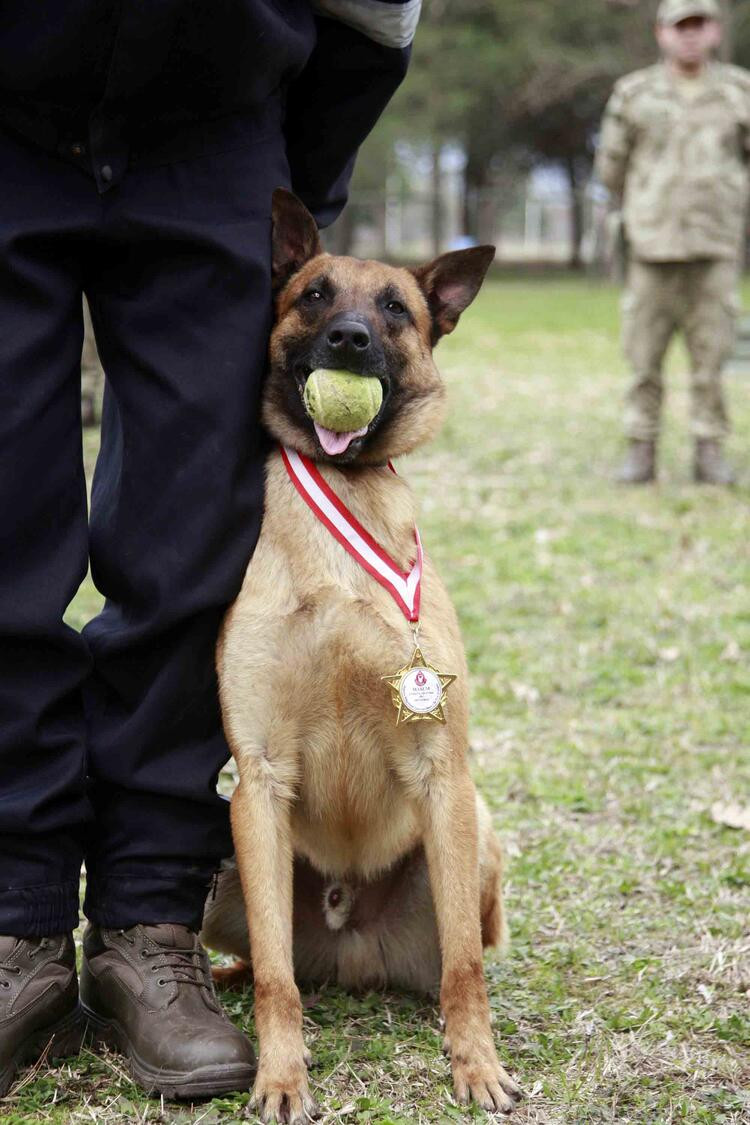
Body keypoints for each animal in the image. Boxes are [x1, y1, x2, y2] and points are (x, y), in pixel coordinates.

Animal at [203, 189, 521, 1120]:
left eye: (396, 309)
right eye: (314, 294)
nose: (348, 338)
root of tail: (353, 953)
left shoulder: (441, 769)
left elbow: (465, 969)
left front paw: (475, 1063)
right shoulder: (260, 779)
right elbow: (277, 980)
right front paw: (280, 1074)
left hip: (472, 829)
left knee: (461, 955)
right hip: (227, 857)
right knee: (270, 962)